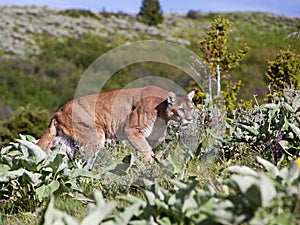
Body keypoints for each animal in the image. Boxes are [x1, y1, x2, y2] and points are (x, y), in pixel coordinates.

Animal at [37, 86, 195, 162]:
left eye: (192, 108)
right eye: (181, 109)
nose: (190, 118)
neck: (161, 109)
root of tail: (59, 110)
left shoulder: (152, 137)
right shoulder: (132, 130)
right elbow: (145, 150)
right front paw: (150, 165)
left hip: (66, 142)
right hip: (95, 134)